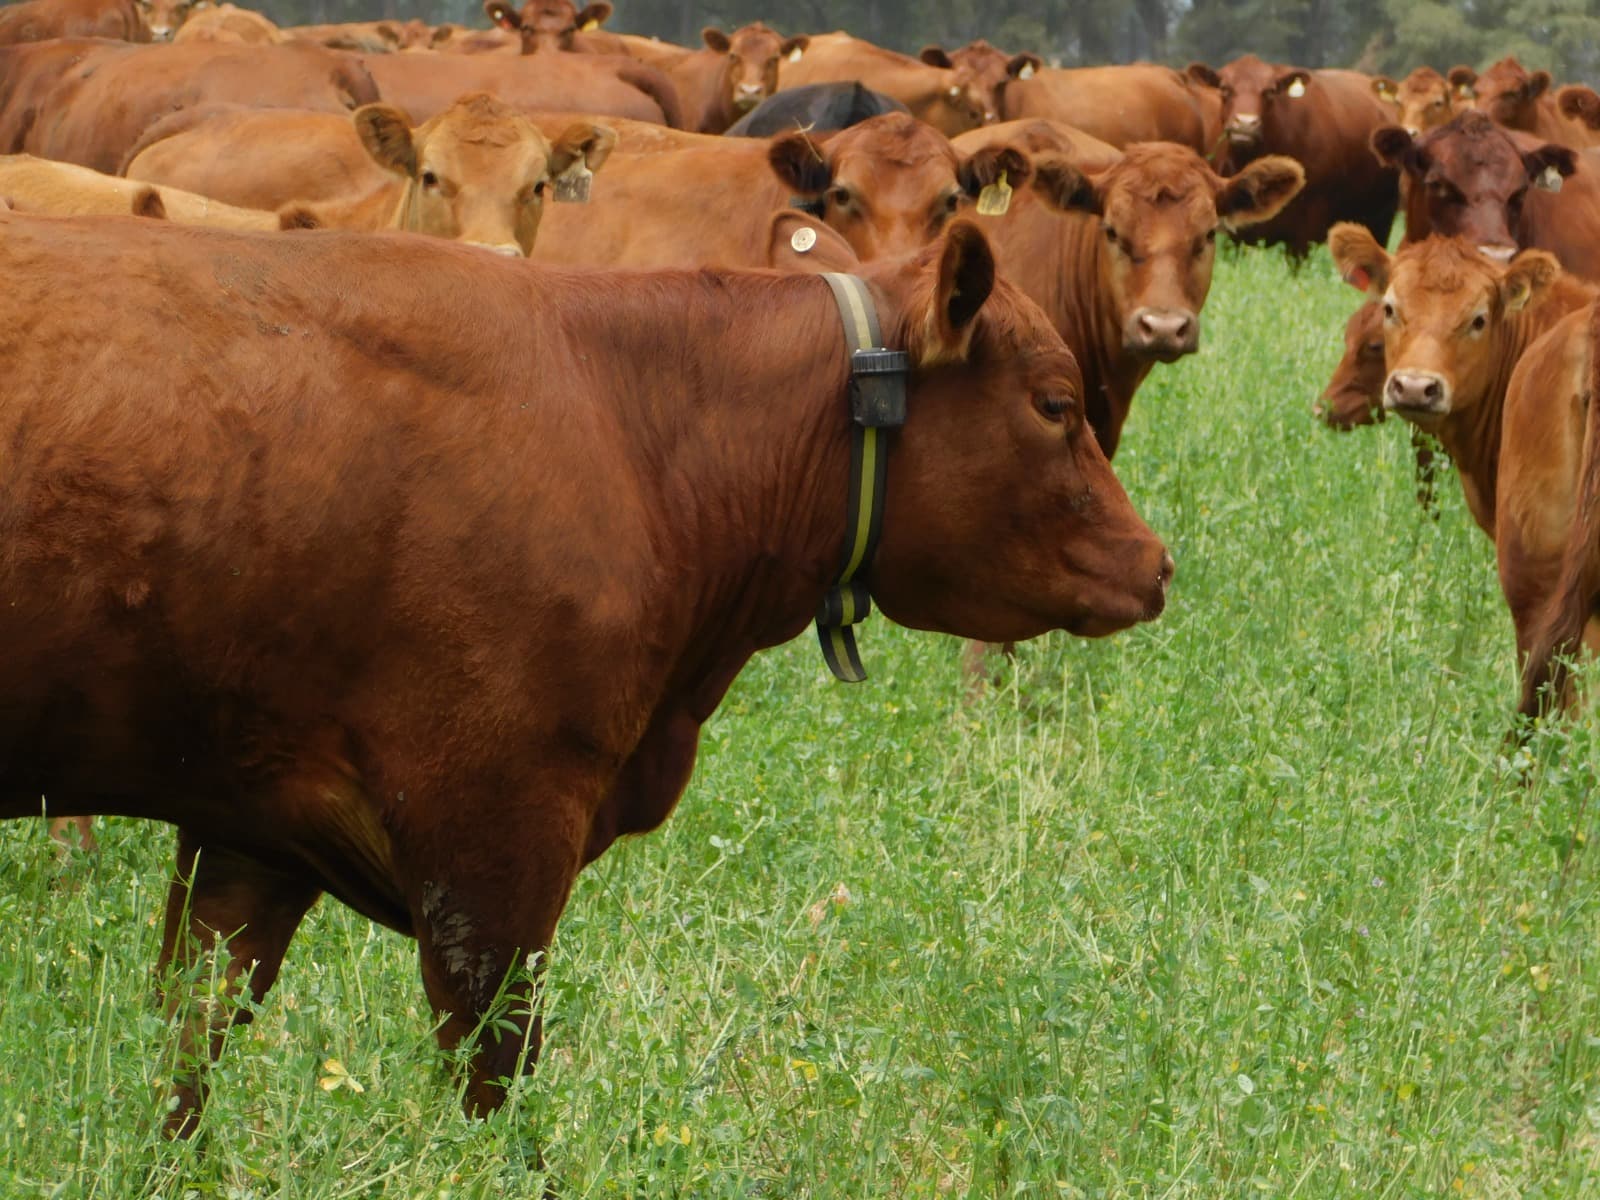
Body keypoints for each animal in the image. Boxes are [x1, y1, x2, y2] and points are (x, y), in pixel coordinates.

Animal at [0, 208, 1170, 1135]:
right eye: (1055, 403)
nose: (1155, 563)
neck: (631, 428)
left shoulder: (250, 824)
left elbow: (189, 1053)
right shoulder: (491, 836)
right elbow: (495, 1087)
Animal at [1186, 56, 1398, 257]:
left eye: (1269, 91)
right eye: (1225, 88)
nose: (1245, 123)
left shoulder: (1304, 234)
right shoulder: (1236, 236)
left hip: (1381, 221)